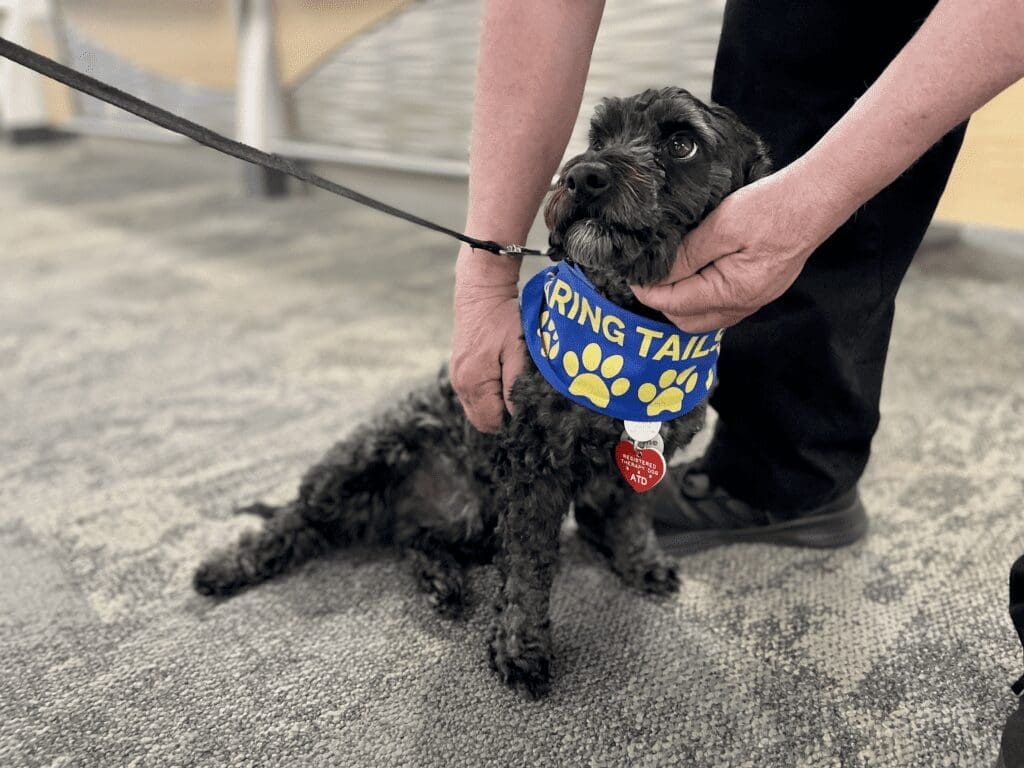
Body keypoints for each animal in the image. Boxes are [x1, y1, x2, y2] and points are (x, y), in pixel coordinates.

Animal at [192, 87, 770, 700]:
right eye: (599, 137)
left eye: (682, 143)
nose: (582, 175)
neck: (636, 332)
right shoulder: (534, 471)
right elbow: (526, 572)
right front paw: (521, 648)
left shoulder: (629, 466)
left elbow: (630, 522)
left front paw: (641, 563)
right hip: (370, 460)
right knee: (296, 522)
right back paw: (227, 566)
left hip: (475, 518)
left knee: (414, 540)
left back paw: (440, 579)